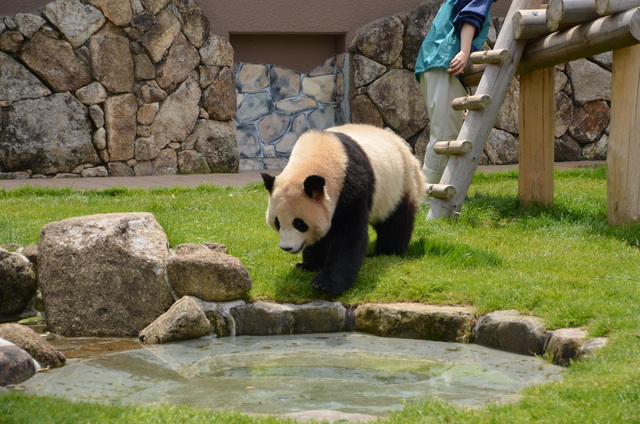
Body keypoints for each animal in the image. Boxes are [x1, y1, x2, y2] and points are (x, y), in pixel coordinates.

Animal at [260, 122, 424, 294]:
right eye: (277, 223)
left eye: (299, 223)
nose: (287, 247)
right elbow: (321, 236)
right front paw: (309, 265)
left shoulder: (353, 186)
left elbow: (349, 236)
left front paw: (325, 284)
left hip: (399, 184)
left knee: (395, 220)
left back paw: (387, 251)